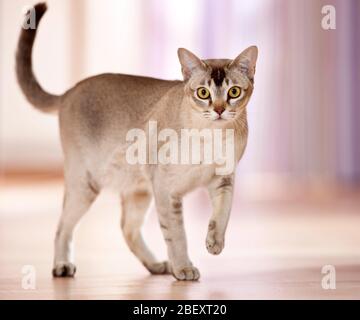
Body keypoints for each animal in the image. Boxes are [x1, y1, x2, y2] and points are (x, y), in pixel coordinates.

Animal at [16, 3, 258, 282]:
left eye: (233, 92)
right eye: (203, 93)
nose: (219, 110)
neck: (211, 136)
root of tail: (68, 92)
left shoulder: (223, 179)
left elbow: (222, 214)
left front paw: (214, 243)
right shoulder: (166, 188)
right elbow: (177, 235)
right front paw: (184, 268)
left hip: (138, 190)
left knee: (127, 228)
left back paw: (157, 266)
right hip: (86, 184)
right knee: (62, 226)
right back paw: (62, 266)